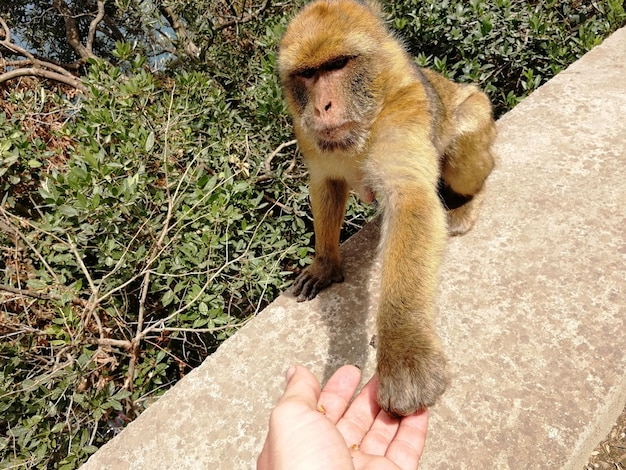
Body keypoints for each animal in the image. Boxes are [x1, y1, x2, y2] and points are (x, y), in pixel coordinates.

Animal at [276, 0, 492, 414]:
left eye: (338, 64)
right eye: (308, 74)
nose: (322, 107)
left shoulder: (403, 113)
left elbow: (411, 200)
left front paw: (404, 349)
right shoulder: (309, 137)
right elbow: (326, 185)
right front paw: (325, 265)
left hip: (480, 118)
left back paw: (468, 203)